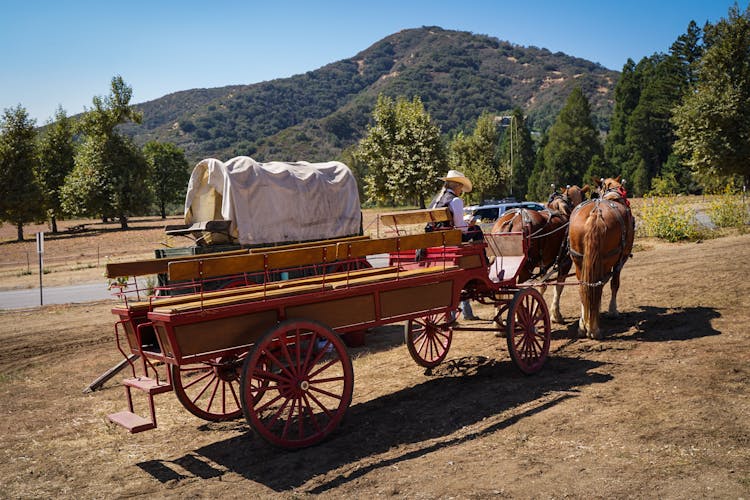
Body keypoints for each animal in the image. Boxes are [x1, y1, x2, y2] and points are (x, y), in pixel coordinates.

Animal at [494, 186, 592, 322]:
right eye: (584, 196)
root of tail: (510, 222)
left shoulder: (543, 263)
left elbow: (542, 285)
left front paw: (539, 310)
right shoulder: (565, 262)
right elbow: (558, 286)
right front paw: (555, 314)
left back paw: (498, 322)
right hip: (525, 268)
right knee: (517, 290)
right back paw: (519, 317)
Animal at [568, 177, 636, 340]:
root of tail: (596, 213)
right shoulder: (619, 260)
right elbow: (614, 284)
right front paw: (612, 311)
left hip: (579, 261)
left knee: (584, 287)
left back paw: (583, 325)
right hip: (606, 259)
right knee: (597, 286)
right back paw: (594, 329)